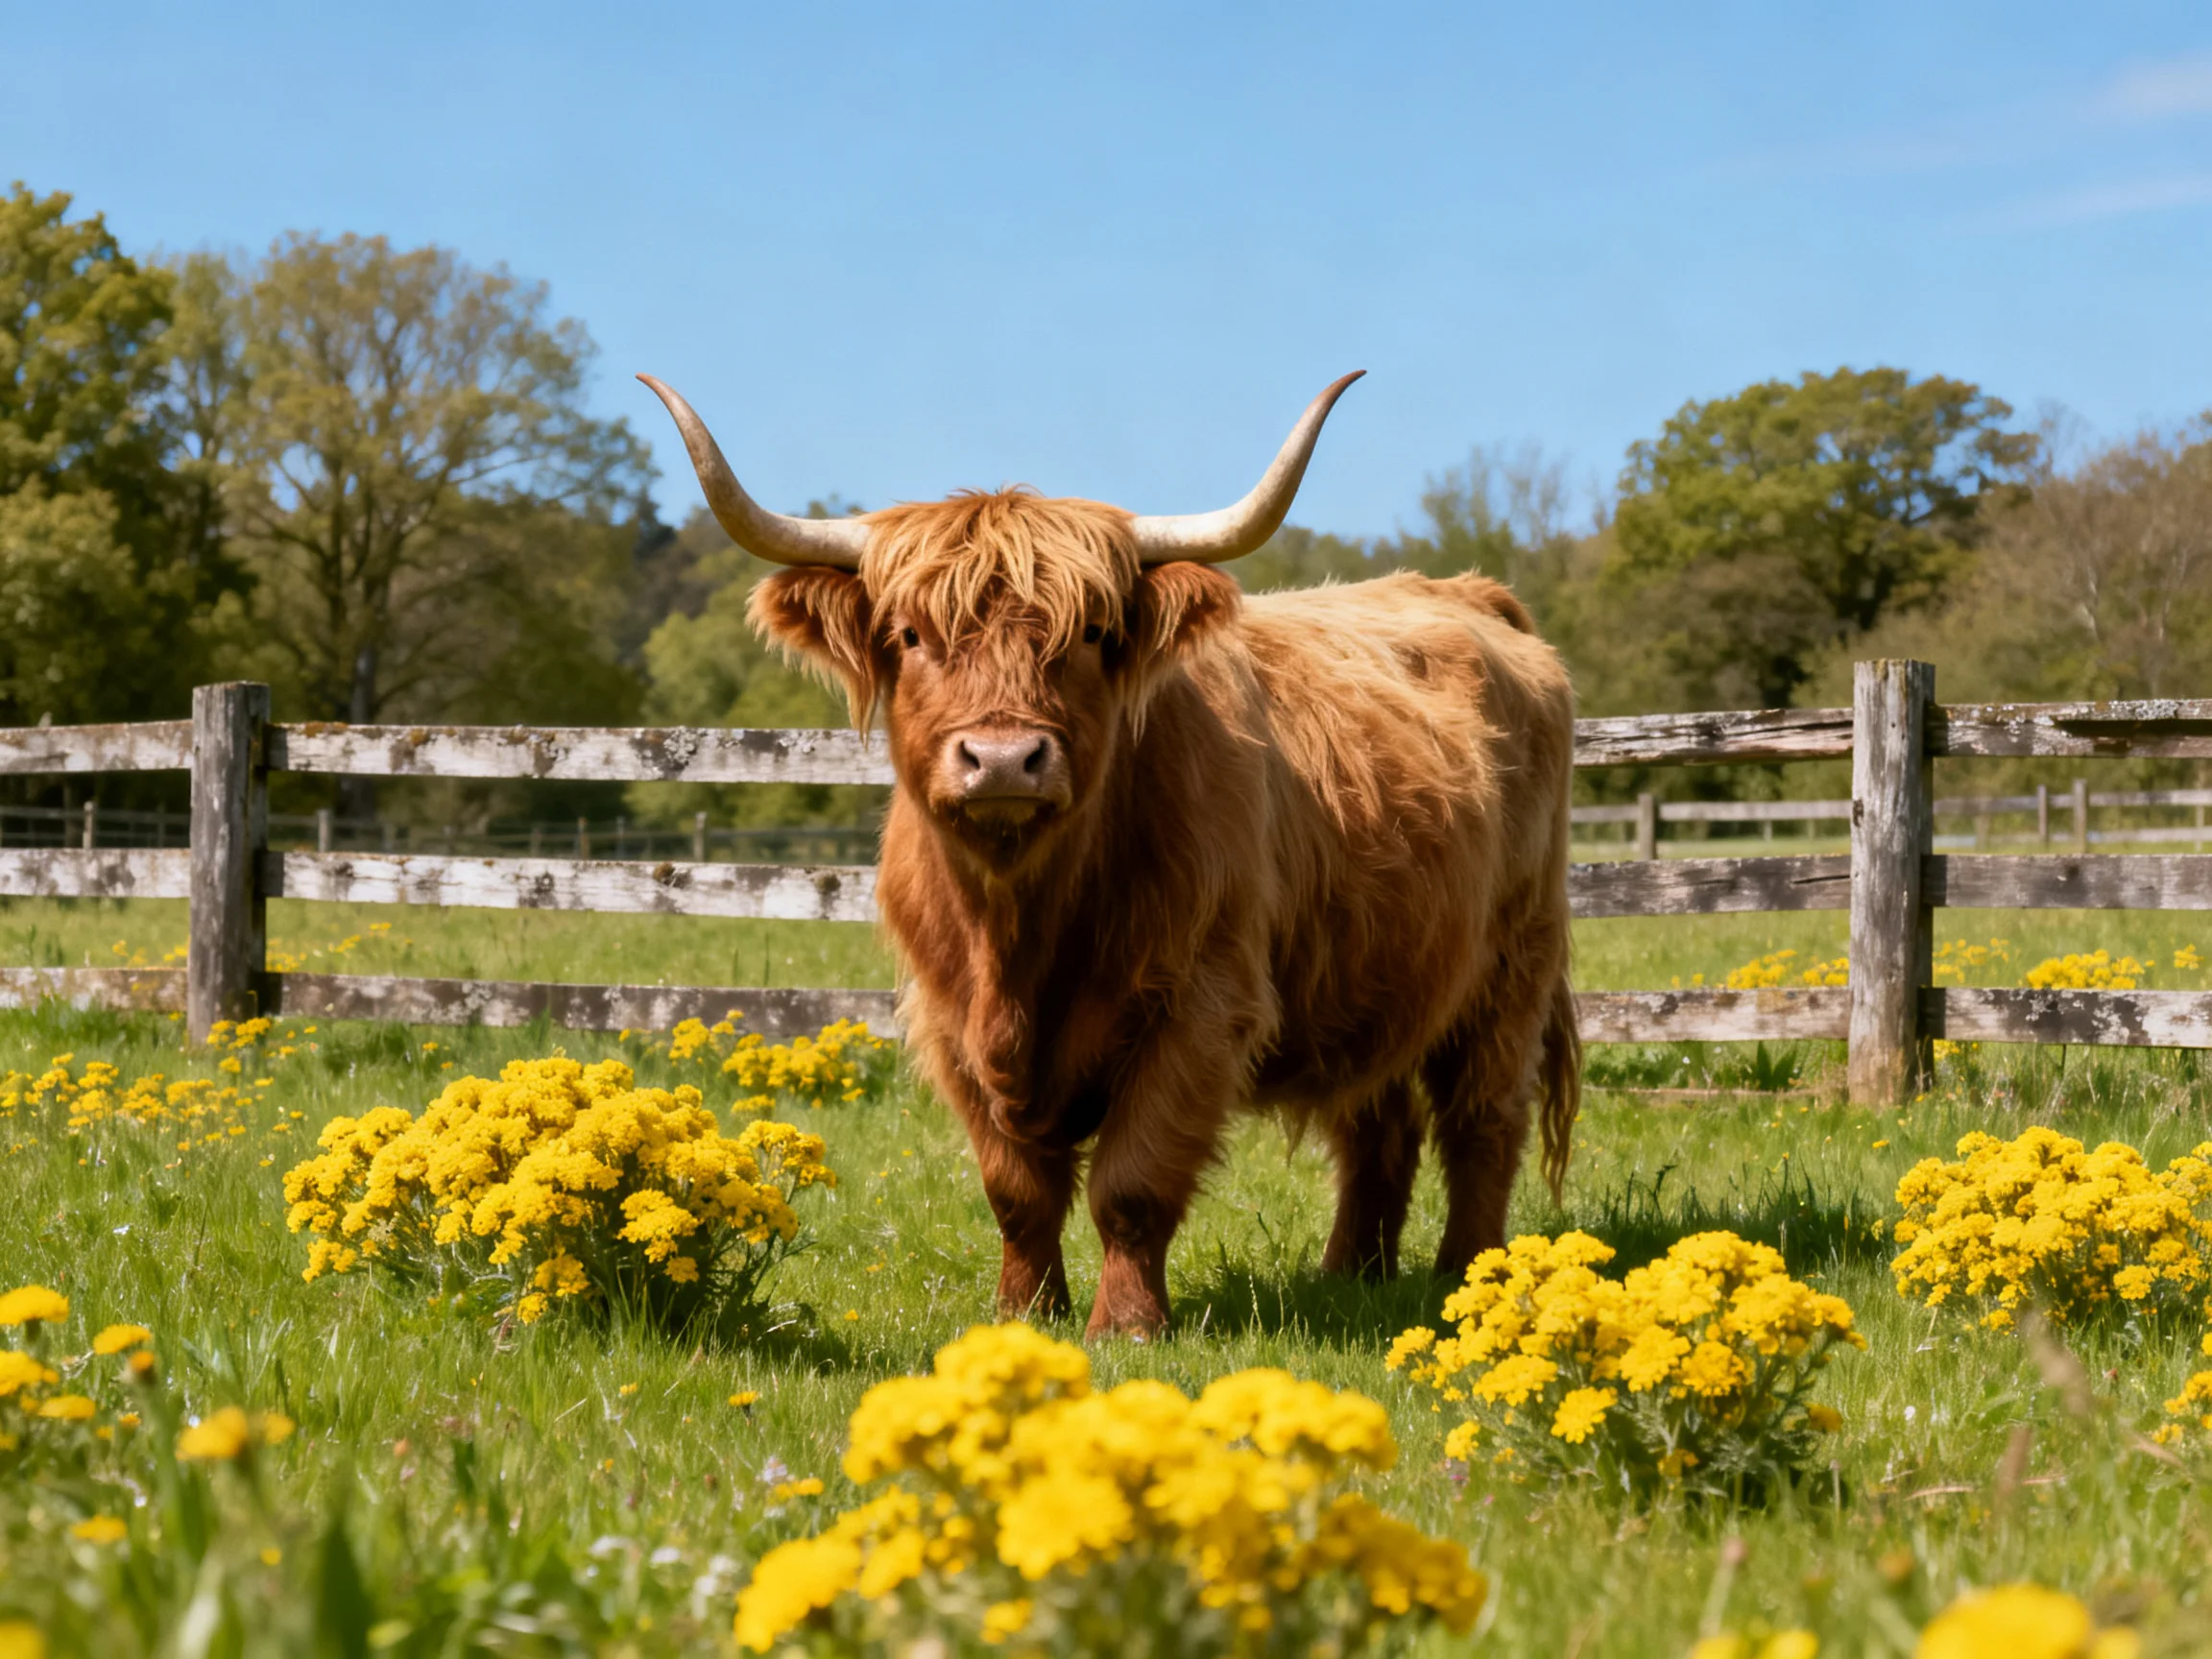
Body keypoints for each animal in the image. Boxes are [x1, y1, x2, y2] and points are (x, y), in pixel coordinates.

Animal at [641, 372, 1580, 1339]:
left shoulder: (1201, 1005)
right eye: (907, 636)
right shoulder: (949, 1019)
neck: (1021, 934)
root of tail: (1470, 595)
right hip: (1374, 972)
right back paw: (1351, 1275)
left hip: (1513, 959)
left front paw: (1126, 1324)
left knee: (1483, 1120)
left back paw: (1468, 1274)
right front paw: (1023, 1312)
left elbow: (1132, 1183)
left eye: (1090, 633)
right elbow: (1016, 1191)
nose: (1003, 759)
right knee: (1377, 1123)